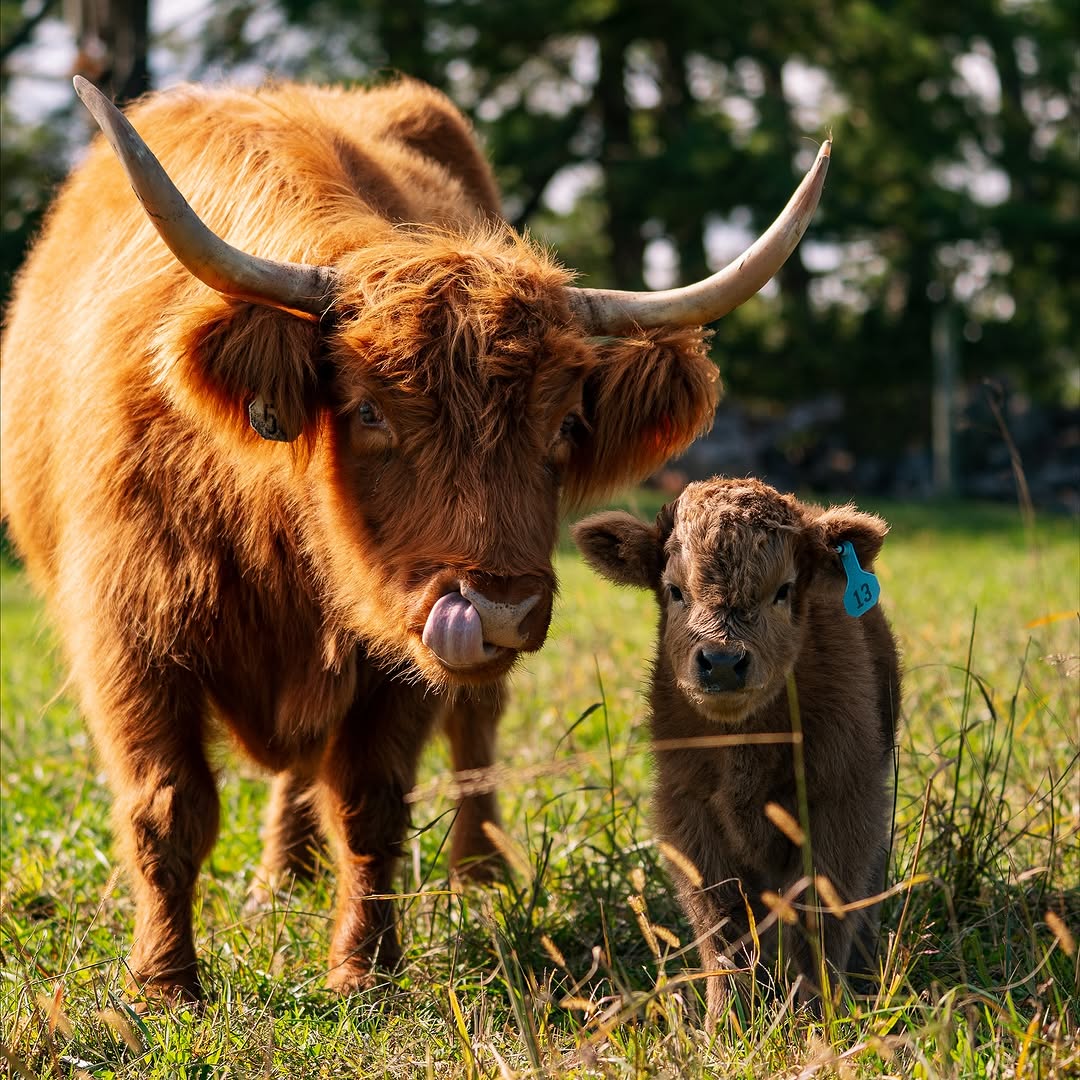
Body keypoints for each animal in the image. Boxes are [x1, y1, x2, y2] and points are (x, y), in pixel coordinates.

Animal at [0, 75, 829, 1002]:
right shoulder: (128, 639)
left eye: (566, 423)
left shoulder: (397, 662)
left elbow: (371, 801)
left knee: (472, 731)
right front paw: (165, 982)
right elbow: (168, 806)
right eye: (367, 411)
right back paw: (280, 881)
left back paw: (479, 874)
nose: (497, 610)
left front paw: (365, 970)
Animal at [572, 478, 900, 1020]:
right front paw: (727, 1019)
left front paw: (818, 1014)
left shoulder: (842, 800)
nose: (723, 663)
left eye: (783, 589)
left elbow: (820, 913)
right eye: (675, 590)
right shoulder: (690, 815)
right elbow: (724, 923)